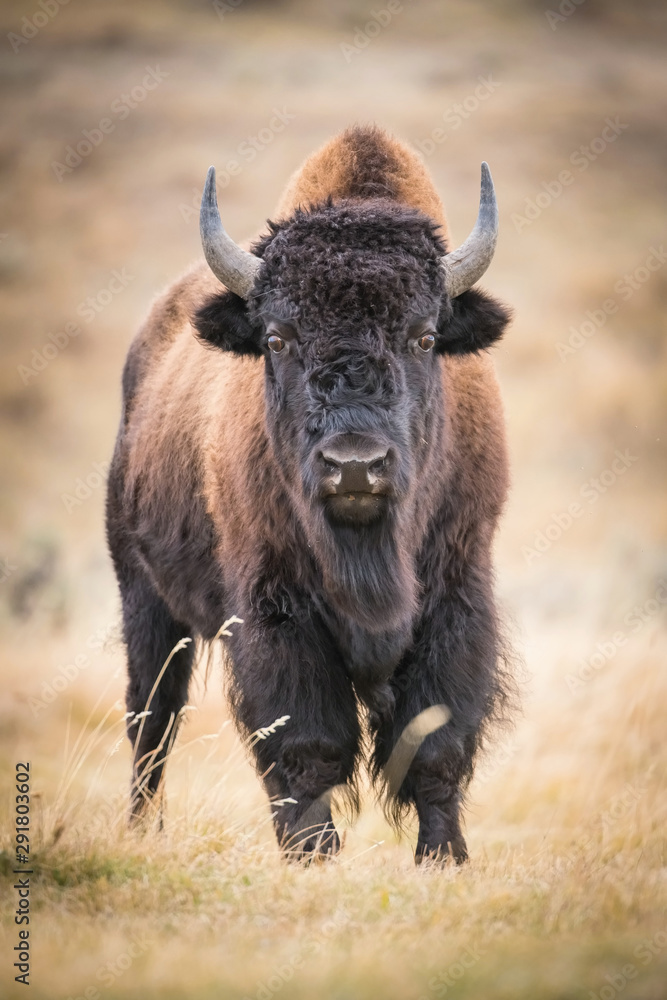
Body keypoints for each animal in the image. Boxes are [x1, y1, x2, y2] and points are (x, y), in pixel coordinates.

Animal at [106, 124, 513, 864]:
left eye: (425, 337)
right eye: (276, 338)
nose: (354, 466)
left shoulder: (457, 592)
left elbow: (436, 741)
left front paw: (443, 857)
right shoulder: (275, 608)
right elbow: (306, 740)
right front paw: (313, 854)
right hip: (143, 597)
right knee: (152, 720)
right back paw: (142, 830)